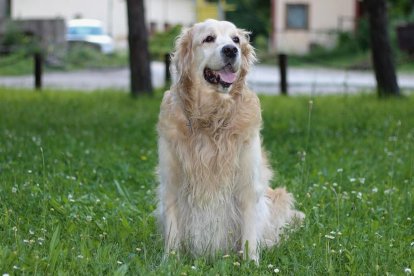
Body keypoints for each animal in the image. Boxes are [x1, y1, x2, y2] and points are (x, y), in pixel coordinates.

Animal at [156, 19, 304, 264]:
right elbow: (172, 230)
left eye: (236, 39)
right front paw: (169, 262)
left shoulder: (247, 184)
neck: (212, 117)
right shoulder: (172, 181)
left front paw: (251, 263)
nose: (231, 50)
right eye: (208, 38)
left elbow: (249, 233)